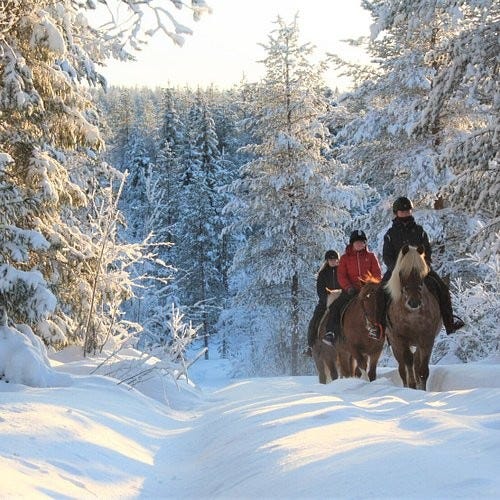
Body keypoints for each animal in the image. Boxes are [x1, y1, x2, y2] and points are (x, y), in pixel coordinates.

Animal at [382, 245, 442, 390]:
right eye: (401, 273)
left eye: (422, 274)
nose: (414, 302)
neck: (412, 316)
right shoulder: (400, 338)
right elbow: (408, 361)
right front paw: (412, 386)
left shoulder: (426, 339)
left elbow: (422, 368)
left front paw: (422, 389)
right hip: (395, 343)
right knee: (402, 367)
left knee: (416, 361)